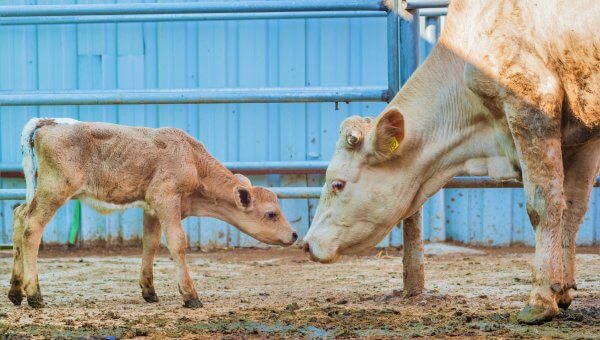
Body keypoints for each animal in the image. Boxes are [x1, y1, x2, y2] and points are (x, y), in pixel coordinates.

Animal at [8, 118, 298, 310]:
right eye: (271, 214)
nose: (294, 235)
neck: (192, 159)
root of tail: (51, 122)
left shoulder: (151, 208)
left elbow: (150, 244)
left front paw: (149, 291)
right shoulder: (165, 199)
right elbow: (177, 243)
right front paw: (190, 295)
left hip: (41, 191)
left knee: (19, 216)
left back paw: (15, 291)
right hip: (55, 190)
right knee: (32, 226)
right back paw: (34, 295)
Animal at [304, 0, 600, 324]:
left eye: (338, 184)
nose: (307, 243)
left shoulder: (531, 103)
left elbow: (542, 206)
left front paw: (541, 299)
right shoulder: (583, 136)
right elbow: (572, 209)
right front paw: (563, 291)